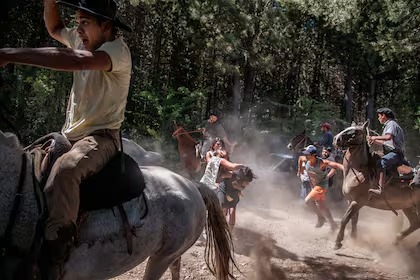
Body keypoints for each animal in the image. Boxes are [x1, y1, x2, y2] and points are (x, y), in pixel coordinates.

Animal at [334, 121, 418, 250]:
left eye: (356, 132)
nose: (336, 139)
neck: (359, 171)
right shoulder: (351, 201)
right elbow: (354, 220)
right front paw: (354, 239)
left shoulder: (358, 202)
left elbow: (345, 219)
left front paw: (338, 242)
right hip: (408, 206)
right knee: (415, 223)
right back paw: (397, 240)